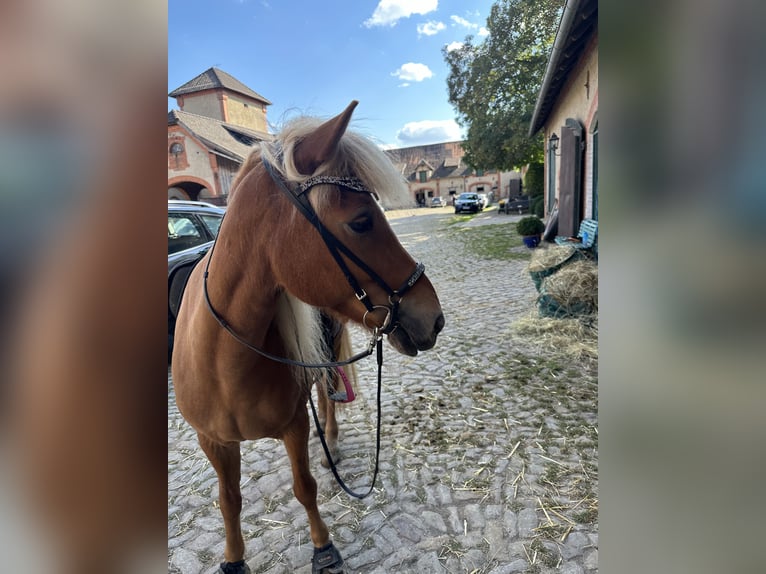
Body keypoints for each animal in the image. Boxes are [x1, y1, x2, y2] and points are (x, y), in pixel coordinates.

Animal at [171, 102, 448, 574]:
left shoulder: (295, 426)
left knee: (327, 389)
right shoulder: (213, 443)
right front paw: (234, 558)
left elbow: (305, 487)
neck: (224, 362)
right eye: (361, 221)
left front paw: (323, 547)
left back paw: (331, 441)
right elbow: (228, 500)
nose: (434, 318)